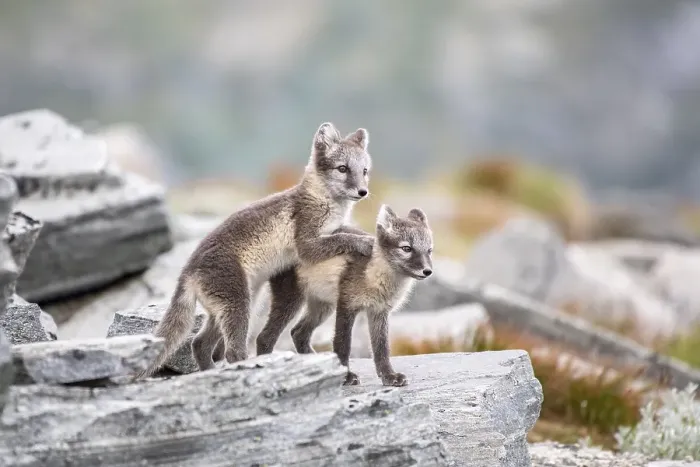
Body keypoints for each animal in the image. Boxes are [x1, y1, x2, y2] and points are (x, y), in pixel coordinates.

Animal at [135, 122, 376, 379]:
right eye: (342, 168)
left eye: (364, 170)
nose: (363, 192)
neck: (324, 201)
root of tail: (188, 270)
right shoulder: (306, 243)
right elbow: (341, 237)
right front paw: (366, 243)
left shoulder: (331, 229)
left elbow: (344, 231)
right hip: (238, 303)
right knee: (232, 351)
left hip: (236, 305)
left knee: (199, 343)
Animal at [291, 204, 434, 387]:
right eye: (406, 248)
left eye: (429, 250)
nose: (427, 271)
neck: (374, 277)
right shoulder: (346, 305)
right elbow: (342, 343)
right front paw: (346, 376)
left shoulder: (379, 311)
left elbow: (381, 347)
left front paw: (389, 376)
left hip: (323, 307)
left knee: (297, 332)